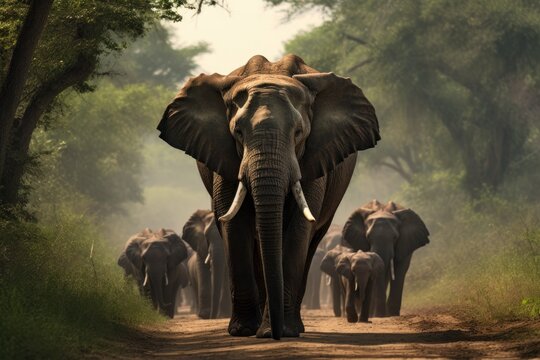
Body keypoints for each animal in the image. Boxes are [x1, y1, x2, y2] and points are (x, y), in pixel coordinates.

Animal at [157, 54, 380, 338]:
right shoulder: (225, 154)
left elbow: (298, 228)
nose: (274, 334)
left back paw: (289, 325)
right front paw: (243, 331)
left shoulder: (313, 157)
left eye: (298, 133)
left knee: (310, 241)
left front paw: (282, 331)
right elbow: (234, 223)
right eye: (238, 133)